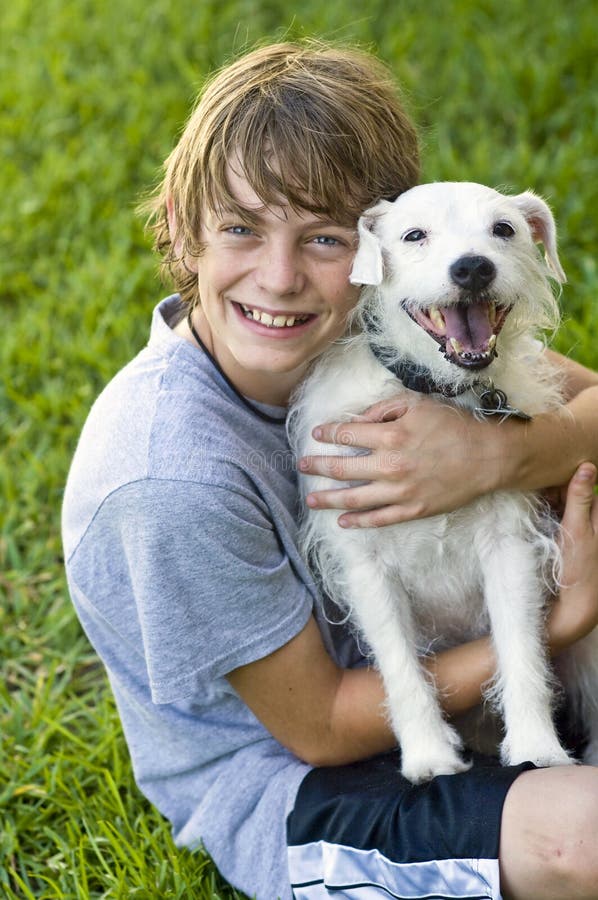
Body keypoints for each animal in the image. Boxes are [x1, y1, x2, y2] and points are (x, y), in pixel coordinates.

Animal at [290, 181, 598, 780]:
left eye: (503, 229)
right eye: (415, 235)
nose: (473, 267)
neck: (434, 392)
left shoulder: (509, 548)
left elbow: (520, 651)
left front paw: (536, 748)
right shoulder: (366, 567)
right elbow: (401, 668)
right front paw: (428, 756)